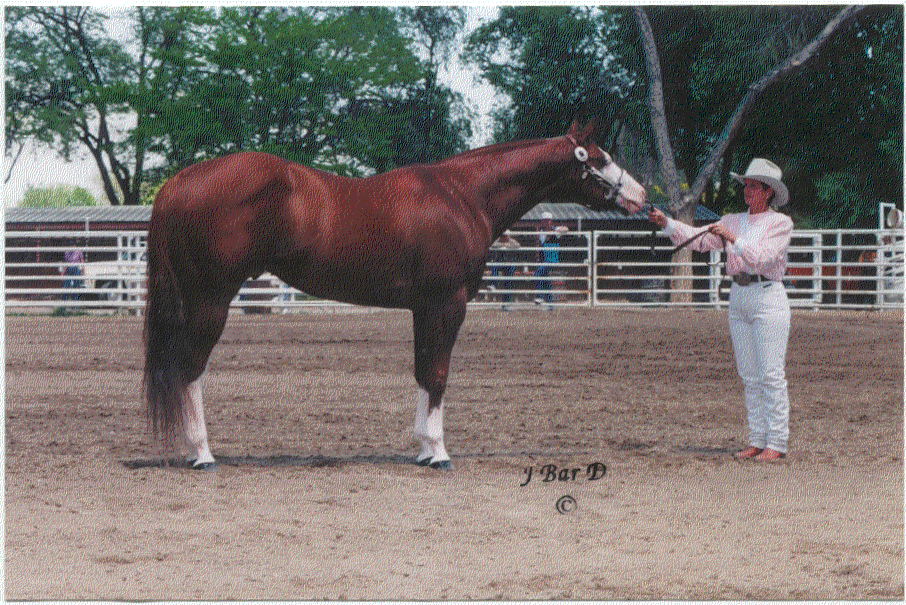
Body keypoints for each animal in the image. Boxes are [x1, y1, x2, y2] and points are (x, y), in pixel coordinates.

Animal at [143, 120, 647, 470]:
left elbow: (424, 372)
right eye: (600, 158)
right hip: (211, 300)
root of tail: (176, 184)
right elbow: (439, 374)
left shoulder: (425, 308)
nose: (642, 196)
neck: (463, 195)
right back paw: (202, 453)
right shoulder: (448, 303)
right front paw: (439, 453)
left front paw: (424, 448)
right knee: (190, 370)